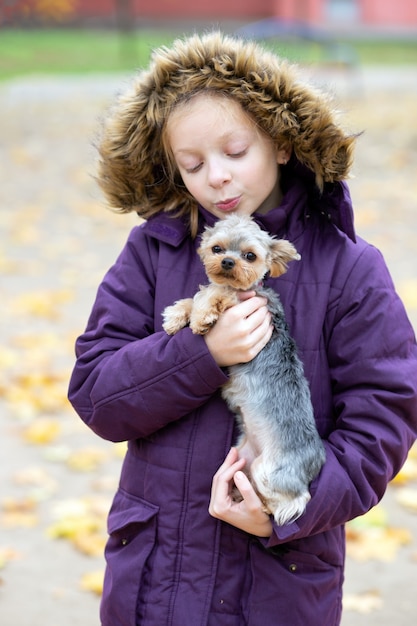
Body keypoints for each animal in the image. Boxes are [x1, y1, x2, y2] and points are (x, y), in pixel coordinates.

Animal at [162, 214, 324, 520]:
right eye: (217, 249)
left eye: (250, 256)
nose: (227, 262)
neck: (245, 290)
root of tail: (312, 470)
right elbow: (198, 294)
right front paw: (176, 315)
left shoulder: (239, 300)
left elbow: (214, 291)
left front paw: (201, 317)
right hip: (242, 455)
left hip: (269, 472)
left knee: (284, 503)